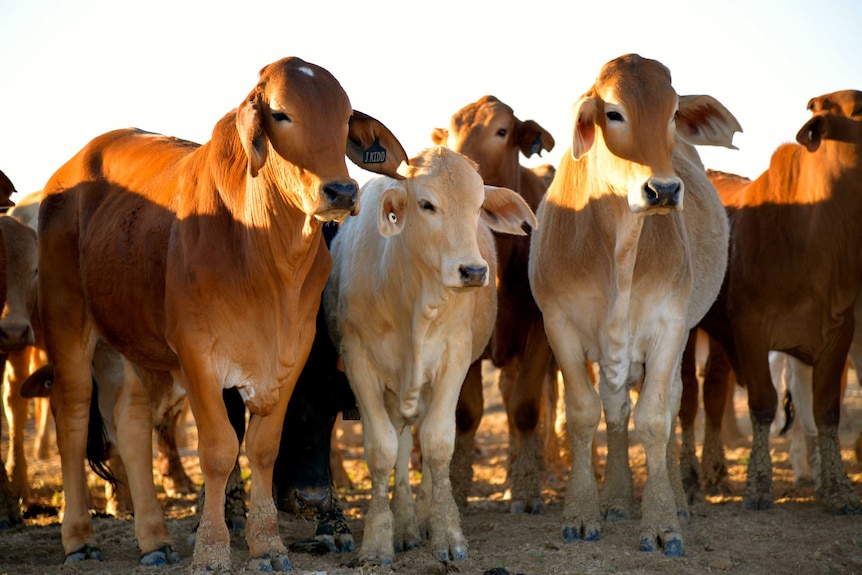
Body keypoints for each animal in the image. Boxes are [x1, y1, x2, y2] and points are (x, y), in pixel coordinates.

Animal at [37, 57, 408, 572]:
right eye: (281, 114)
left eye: (343, 119)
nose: (341, 191)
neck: (263, 255)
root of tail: (67, 171)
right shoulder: (198, 357)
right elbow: (219, 450)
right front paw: (212, 549)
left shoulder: (290, 356)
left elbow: (263, 448)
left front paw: (268, 545)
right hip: (67, 322)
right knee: (71, 417)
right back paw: (79, 539)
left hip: (127, 340)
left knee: (130, 422)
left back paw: (155, 540)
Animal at [428, 95, 556, 512]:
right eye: (451, 130)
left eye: (502, 130)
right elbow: (466, 413)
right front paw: (457, 485)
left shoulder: (540, 331)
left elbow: (526, 408)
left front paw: (528, 489)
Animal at [528, 55, 740, 560]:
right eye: (614, 113)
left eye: (673, 113)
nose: (662, 191)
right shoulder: (559, 325)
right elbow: (587, 413)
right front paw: (582, 512)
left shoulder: (670, 326)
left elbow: (655, 419)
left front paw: (663, 521)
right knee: (615, 407)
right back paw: (618, 499)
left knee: (670, 403)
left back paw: (676, 501)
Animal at [696, 91, 862, 516]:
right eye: (860, 110)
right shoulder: (750, 329)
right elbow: (763, 404)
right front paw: (758, 483)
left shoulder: (838, 332)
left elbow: (825, 410)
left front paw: (837, 488)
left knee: (715, 390)